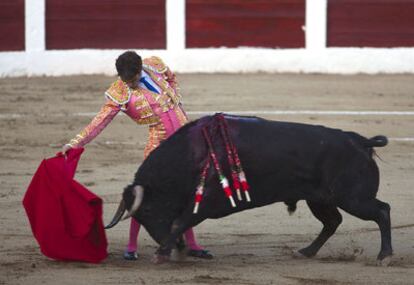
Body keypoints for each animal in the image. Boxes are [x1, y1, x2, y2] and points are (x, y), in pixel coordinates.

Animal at [106, 113, 392, 264]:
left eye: (148, 211)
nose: (173, 245)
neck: (192, 154)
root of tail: (360, 141)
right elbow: (182, 221)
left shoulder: (206, 201)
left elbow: (180, 221)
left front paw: (163, 252)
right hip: (321, 199)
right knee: (332, 221)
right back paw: (306, 251)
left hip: (353, 197)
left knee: (382, 210)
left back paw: (384, 256)